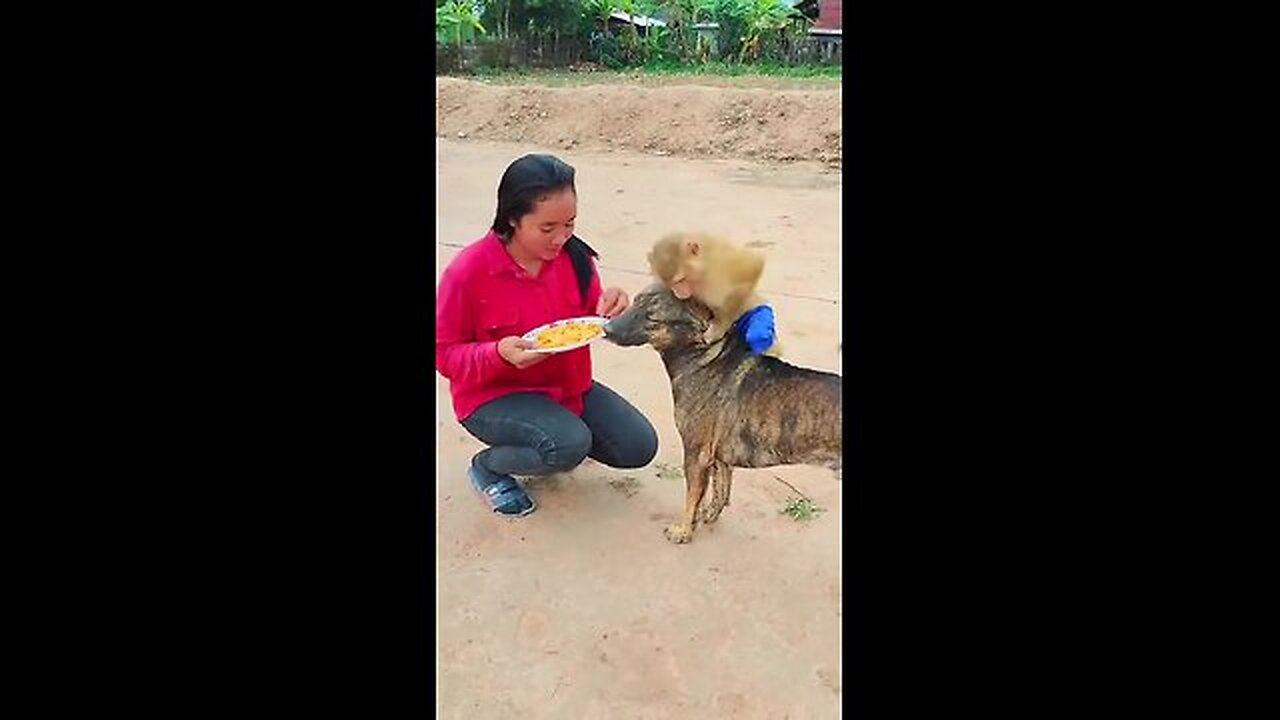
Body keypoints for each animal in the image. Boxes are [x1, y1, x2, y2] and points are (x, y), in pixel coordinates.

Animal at [604, 283, 844, 540]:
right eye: (634, 302)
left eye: (652, 317)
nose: (606, 329)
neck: (703, 356)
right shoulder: (718, 457)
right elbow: (720, 489)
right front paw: (708, 515)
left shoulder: (696, 454)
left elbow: (692, 497)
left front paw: (683, 530)